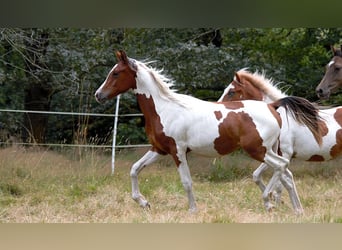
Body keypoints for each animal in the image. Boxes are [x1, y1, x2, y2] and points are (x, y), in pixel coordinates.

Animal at [220, 69, 340, 207]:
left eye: (231, 92)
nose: (218, 105)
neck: (278, 116)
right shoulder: (272, 153)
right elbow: (258, 176)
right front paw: (274, 199)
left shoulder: (284, 154)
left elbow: (280, 183)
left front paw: (276, 202)